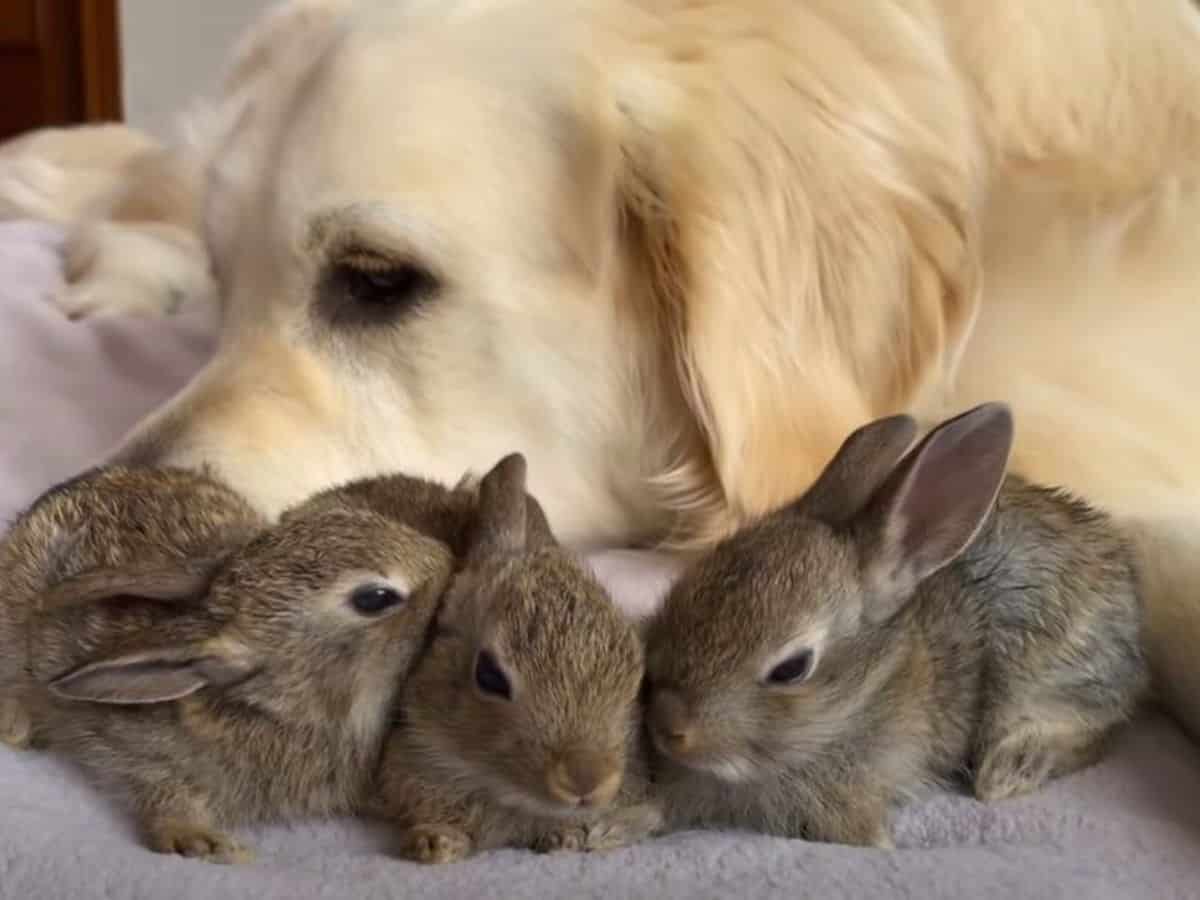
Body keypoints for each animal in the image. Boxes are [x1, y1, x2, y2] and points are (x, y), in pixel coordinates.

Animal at [0, 465, 453, 868]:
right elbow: (154, 787)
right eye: (374, 598)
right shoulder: (129, 747)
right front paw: (198, 841)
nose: (446, 559)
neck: (287, 706)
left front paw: (436, 837)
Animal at [643, 405, 1147, 849]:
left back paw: (1008, 770)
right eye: (677, 595)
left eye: (791, 669)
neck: (860, 699)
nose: (666, 724)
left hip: (1042, 673)